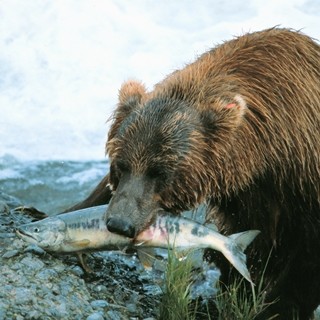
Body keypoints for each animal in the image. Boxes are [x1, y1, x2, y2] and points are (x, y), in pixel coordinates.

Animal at [68, 28, 320, 318]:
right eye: (121, 165)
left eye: (160, 172)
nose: (119, 223)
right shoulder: (249, 194)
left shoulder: (301, 187)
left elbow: (305, 264)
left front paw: (277, 307)